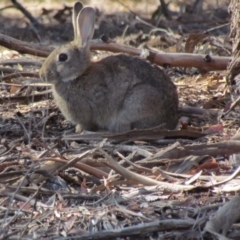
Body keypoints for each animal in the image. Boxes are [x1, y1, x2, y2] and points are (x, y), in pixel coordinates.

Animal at [39, 1, 178, 133]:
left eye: (63, 57)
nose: (42, 75)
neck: (78, 75)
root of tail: (171, 119)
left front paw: (79, 130)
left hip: (138, 101)